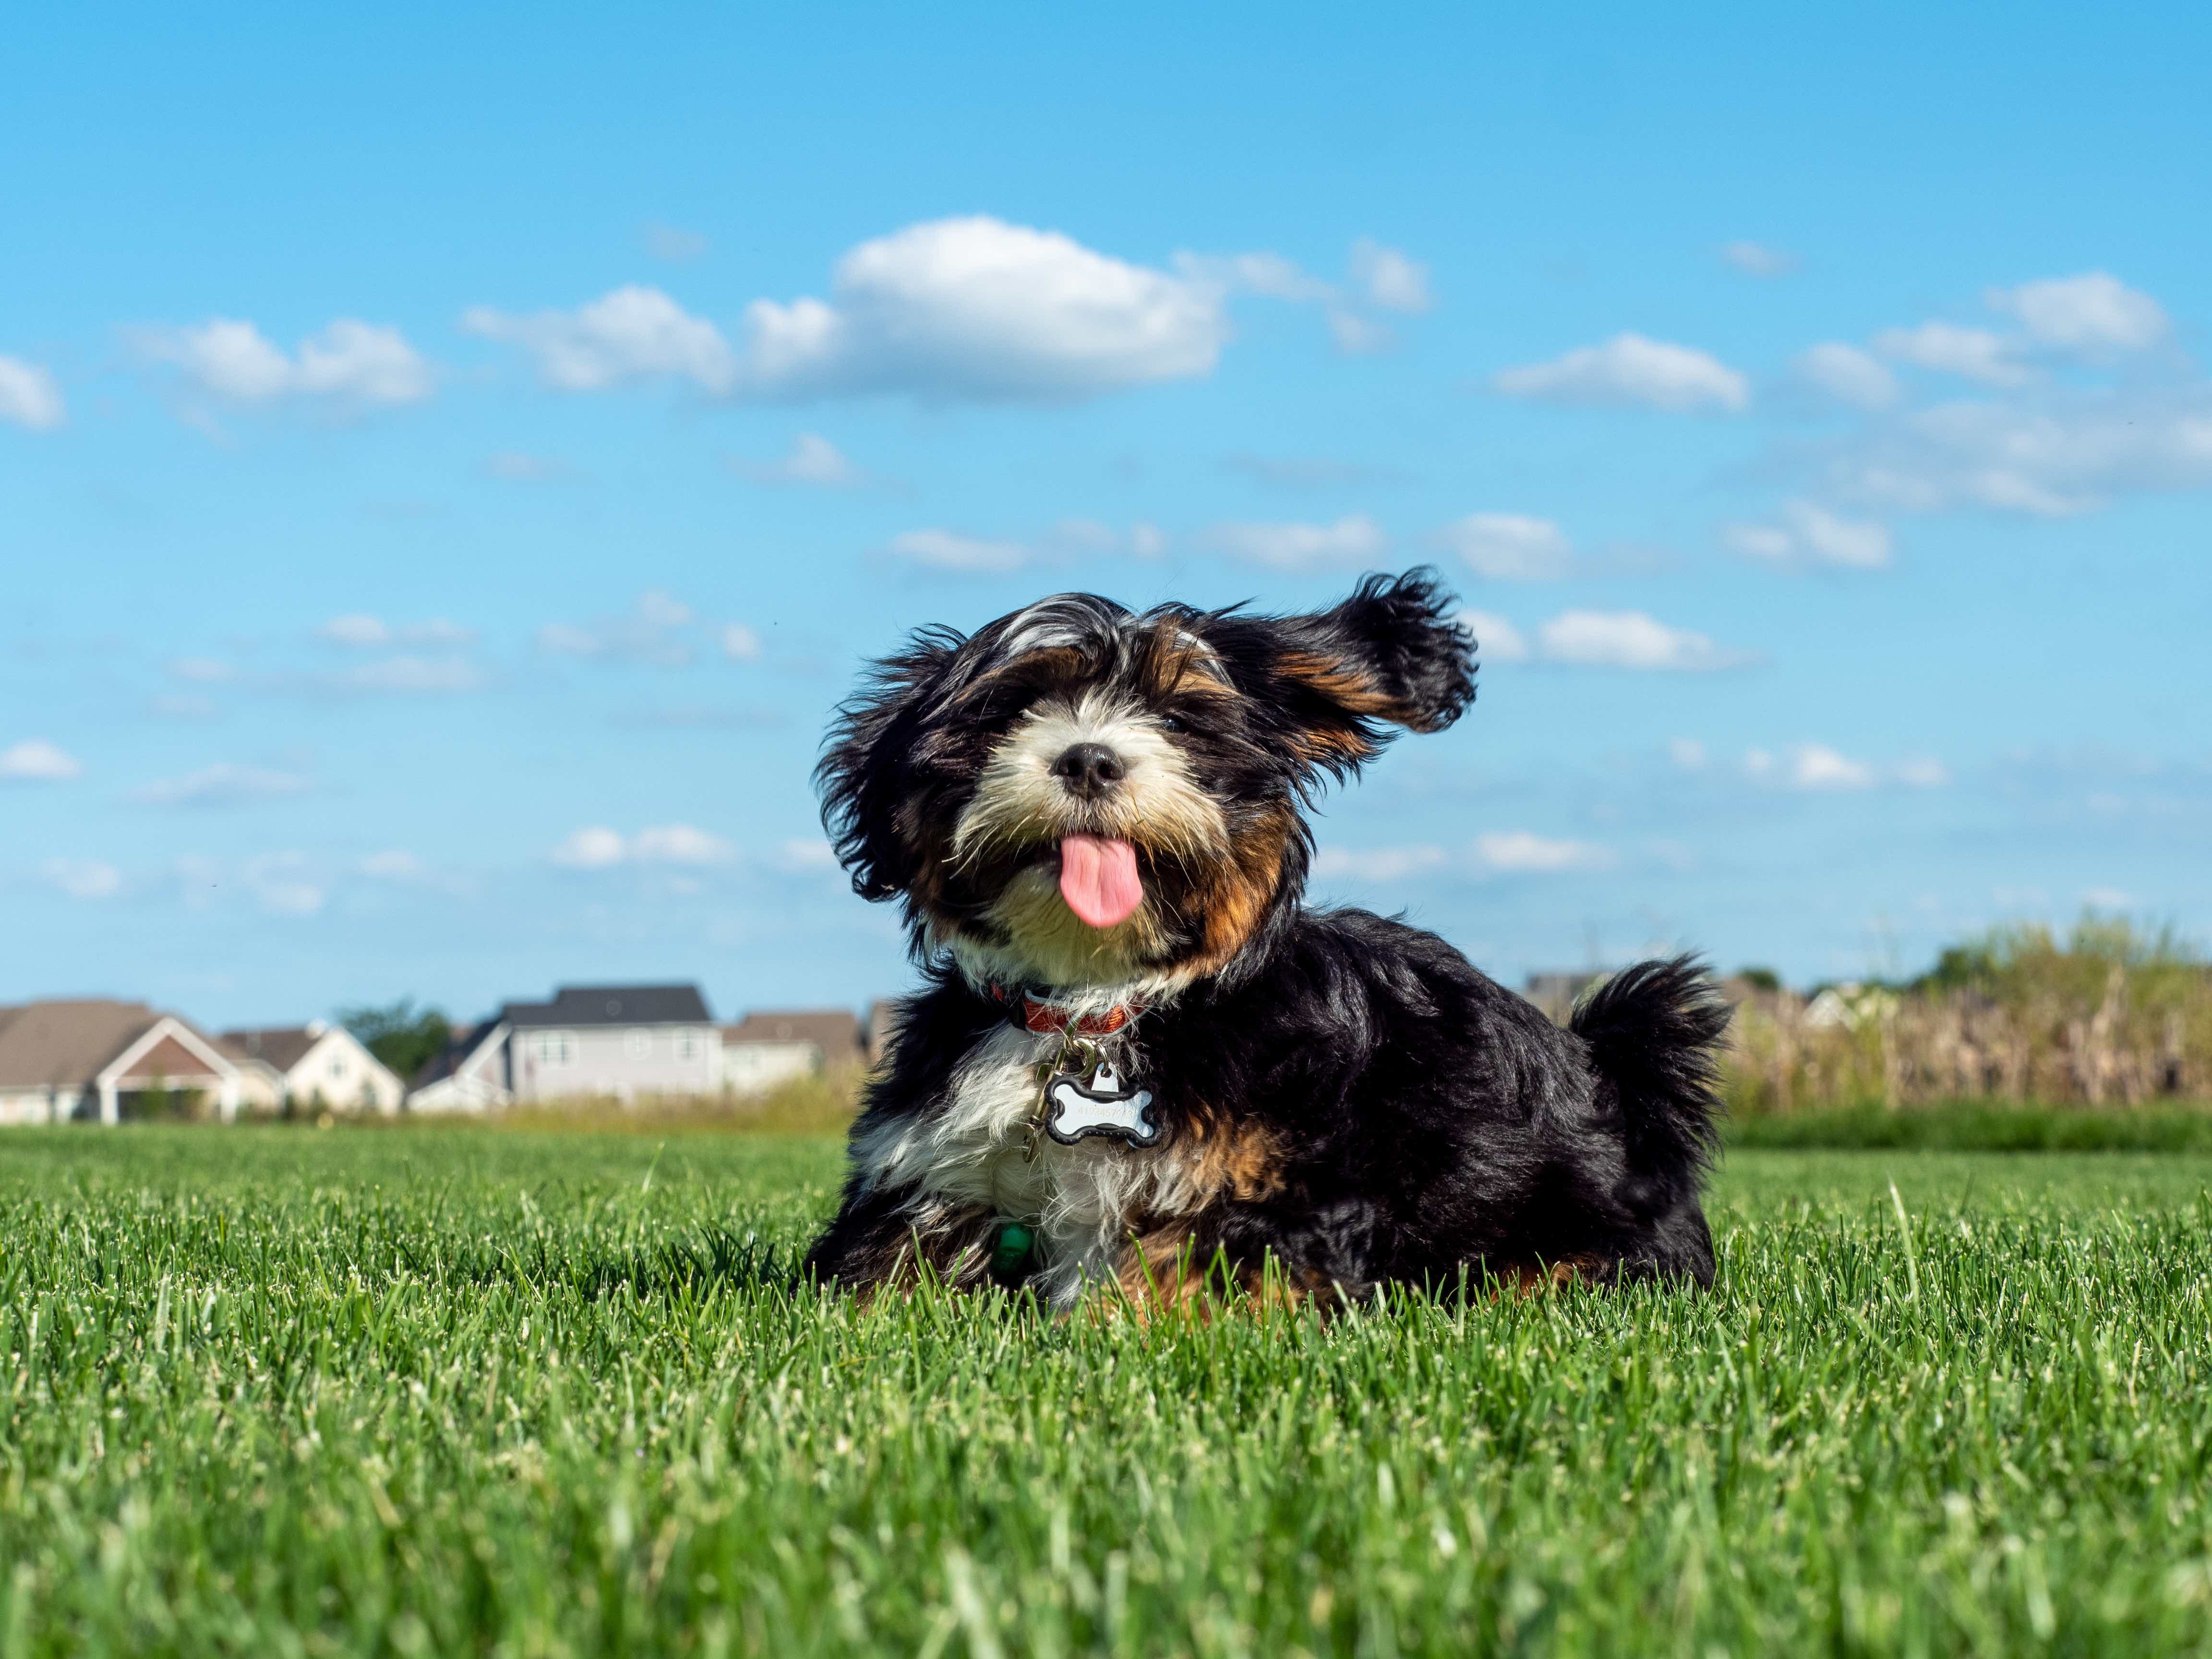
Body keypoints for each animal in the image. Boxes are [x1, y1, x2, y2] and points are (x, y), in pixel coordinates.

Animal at [796, 570, 1725, 1309]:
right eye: (1016, 707)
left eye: (1179, 720)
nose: (1090, 759)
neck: (1093, 1005)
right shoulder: (927, 1176)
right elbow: (873, 1282)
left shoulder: (1284, 1196)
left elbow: (1167, 1279)